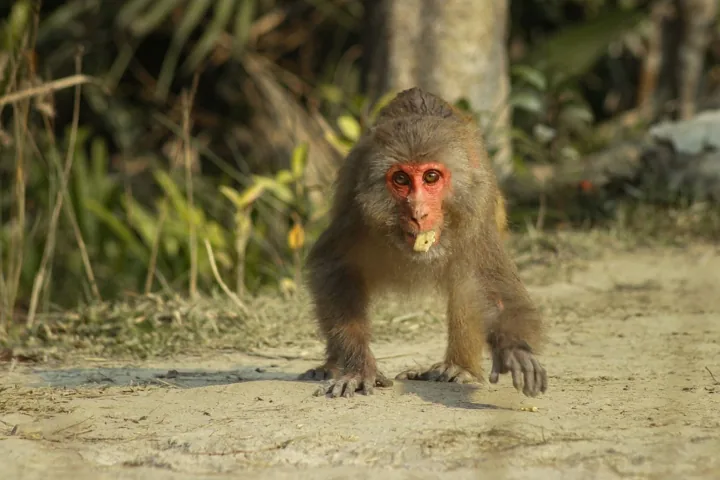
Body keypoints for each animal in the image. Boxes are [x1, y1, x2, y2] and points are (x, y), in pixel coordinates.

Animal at [299, 87, 547, 399]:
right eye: (401, 179)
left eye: (431, 177)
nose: (418, 213)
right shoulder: (355, 208)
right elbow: (333, 266)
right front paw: (358, 368)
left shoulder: (476, 211)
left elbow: (488, 280)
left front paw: (514, 349)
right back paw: (332, 365)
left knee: (465, 280)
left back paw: (458, 368)